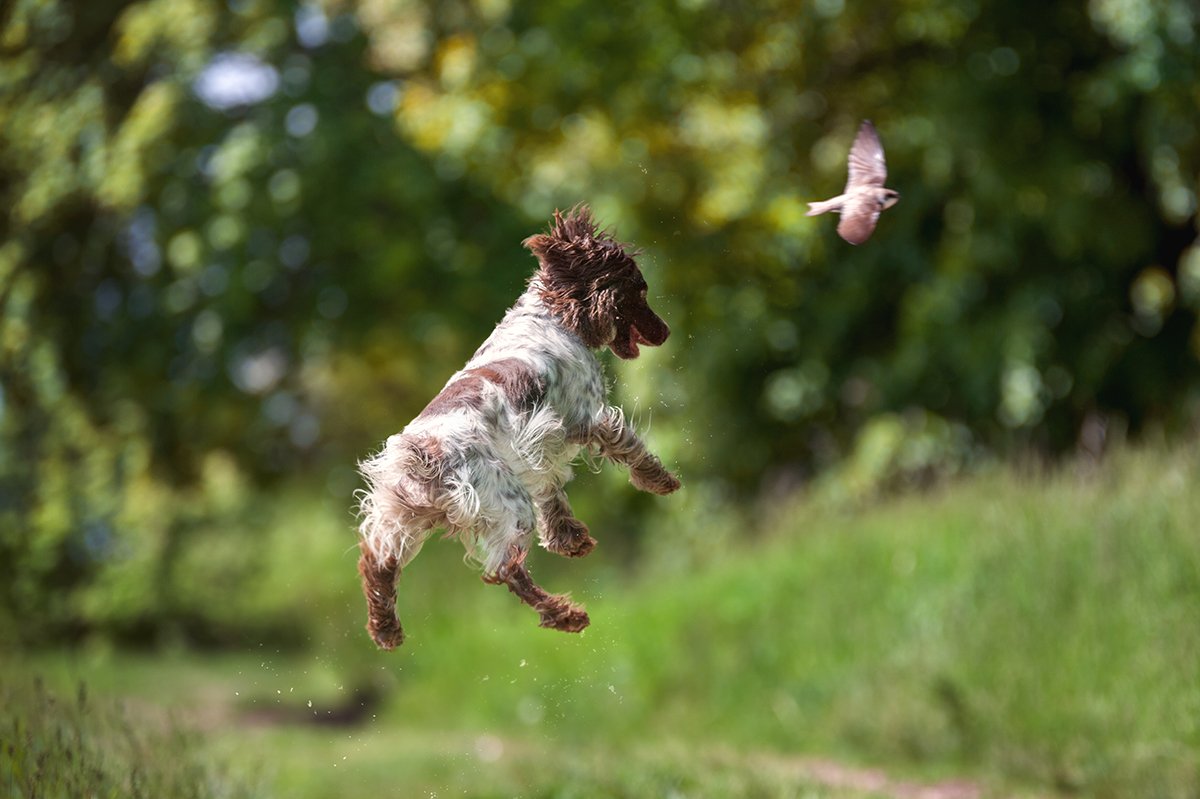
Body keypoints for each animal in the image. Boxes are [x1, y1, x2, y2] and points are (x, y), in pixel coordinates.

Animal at [350, 203, 681, 647]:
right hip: (505, 504)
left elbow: (552, 492)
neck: (553, 317)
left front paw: (569, 538)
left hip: (404, 515)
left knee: (378, 565)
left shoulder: (537, 445)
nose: (665, 332)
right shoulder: (587, 417)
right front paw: (660, 480)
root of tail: (426, 456)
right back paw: (566, 615)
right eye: (640, 292)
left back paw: (386, 630)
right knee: (505, 569)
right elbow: (630, 447)